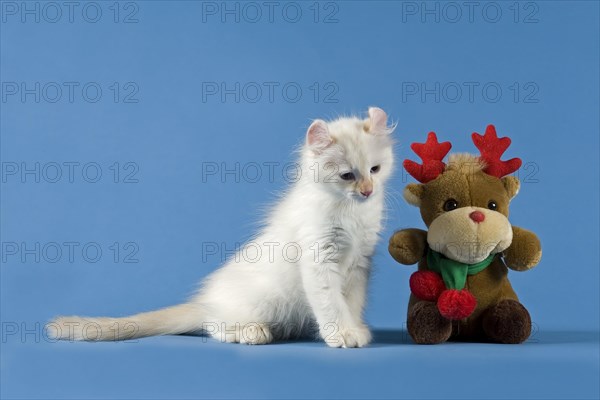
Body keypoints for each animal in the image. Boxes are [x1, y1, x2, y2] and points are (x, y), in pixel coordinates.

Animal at [49, 106, 396, 346]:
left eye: (375, 170)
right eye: (347, 176)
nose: (368, 191)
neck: (350, 213)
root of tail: (205, 300)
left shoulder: (360, 263)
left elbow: (351, 302)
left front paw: (357, 328)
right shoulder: (318, 261)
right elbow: (331, 303)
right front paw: (343, 334)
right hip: (263, 301)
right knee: (214, 325)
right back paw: (250, 332)